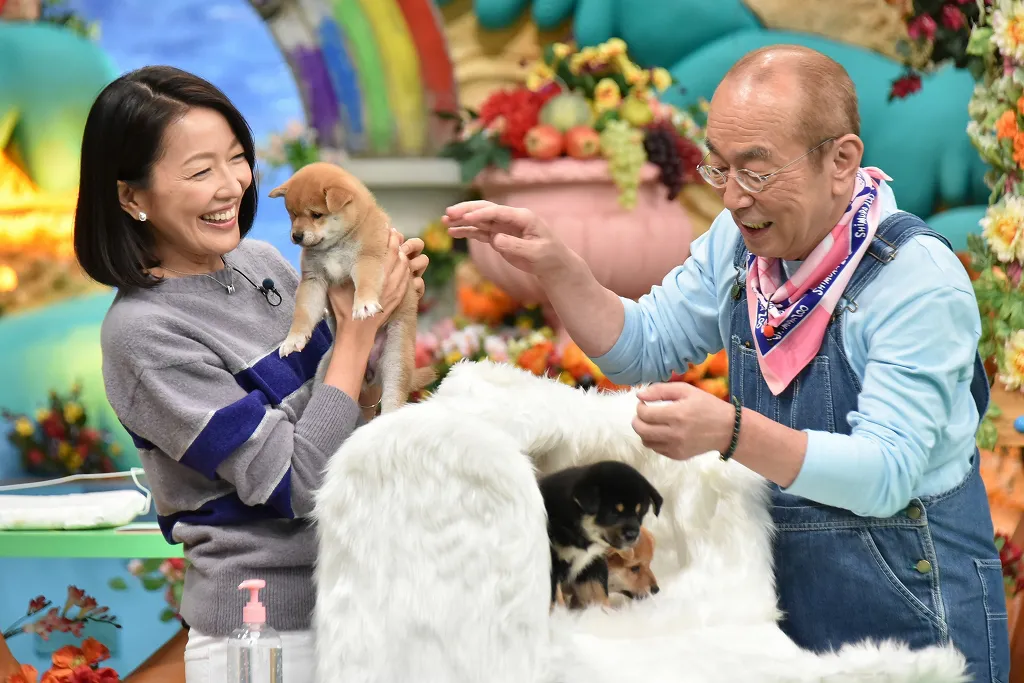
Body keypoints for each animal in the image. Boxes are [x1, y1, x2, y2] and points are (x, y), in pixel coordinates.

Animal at [268, 162, 432, 413]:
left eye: (316, 215)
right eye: (292, 215)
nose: (296, 235)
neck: (336, 245)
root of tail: (371, 372)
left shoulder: (368, 259)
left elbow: (366, 283)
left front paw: (363, 304)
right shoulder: (313, 281)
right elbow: (303, 313)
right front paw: (293, 339)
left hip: (396, 360)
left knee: (393, 400)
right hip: (326, 367)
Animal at [540, 462, 659, 610]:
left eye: (640, 514)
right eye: (635, 568)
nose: (656, 590)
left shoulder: (592, 565)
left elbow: (599, 597)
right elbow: (556, 600)